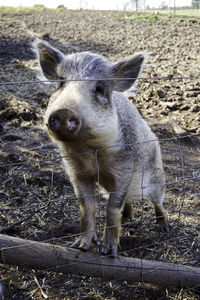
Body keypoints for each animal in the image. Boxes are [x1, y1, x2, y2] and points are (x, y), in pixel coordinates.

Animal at [33, 38, 168, 256]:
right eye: (61, 82)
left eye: (99, 88)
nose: (64, 111)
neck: (90, 152)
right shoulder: (77, 173)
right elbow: (86, 206)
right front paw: (80, 246)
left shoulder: (124, 170)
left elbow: (112, 207)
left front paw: (108, 252)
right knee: (128, 202)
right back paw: (127, 220)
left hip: (157, 176)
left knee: (158, 202)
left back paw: (164, 228)